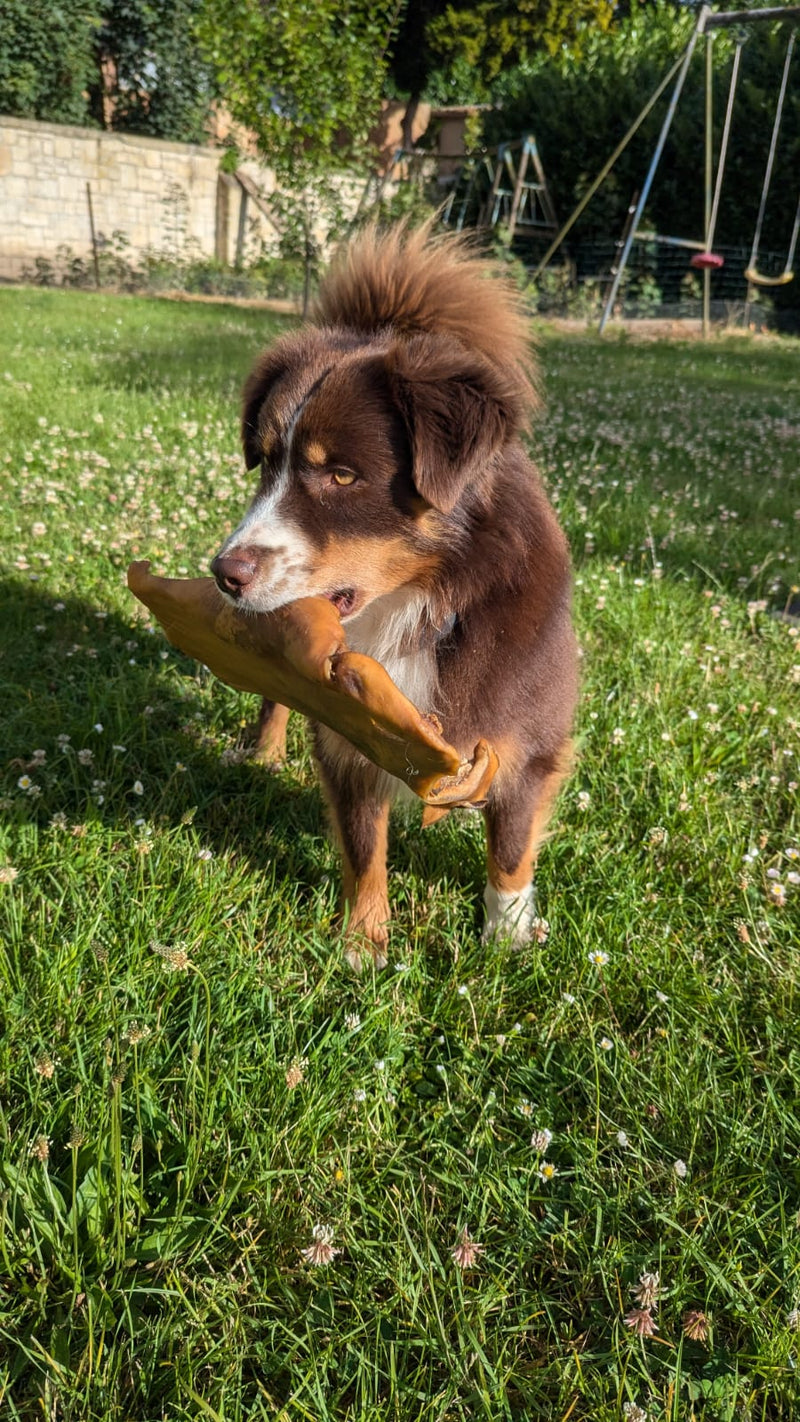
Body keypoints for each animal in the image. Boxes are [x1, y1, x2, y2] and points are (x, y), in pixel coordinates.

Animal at [210, 224, 579, 966]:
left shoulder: (527, 730)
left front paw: (506, 936)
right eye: (265, 462)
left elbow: (512, 844)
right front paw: (362, 944)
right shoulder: (347, 738)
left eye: (343, 475)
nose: (224, 573)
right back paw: (263, 750)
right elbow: (362, 846)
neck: (419, 606)